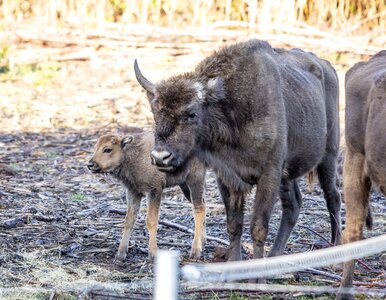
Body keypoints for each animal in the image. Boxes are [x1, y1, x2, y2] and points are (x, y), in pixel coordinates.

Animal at [88, 129, 208, 260]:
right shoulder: (133, 192)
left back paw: (195, 251)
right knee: (203, 204)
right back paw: (203, 241)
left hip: (194, 179)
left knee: (198, 209)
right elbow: (129, 220)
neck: (131, 155)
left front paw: (153, 253)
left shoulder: (154, 190)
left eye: (108, 149)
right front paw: (121, 253)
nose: (91, 164)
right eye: (95, 148)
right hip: (184, 185)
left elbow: (151, 220)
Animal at [134, 39, 342, 262]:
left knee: (333, 196)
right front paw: (234, 262)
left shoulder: (269, 174)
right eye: (155, 112)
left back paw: (336, 249)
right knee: (293, 204)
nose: (160, 157)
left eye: (191, 114)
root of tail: (327, 67)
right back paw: (276, 255)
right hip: (288, 174)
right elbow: (234, 225)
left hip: (328, 156)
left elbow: (258, 227)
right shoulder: (227, 176)